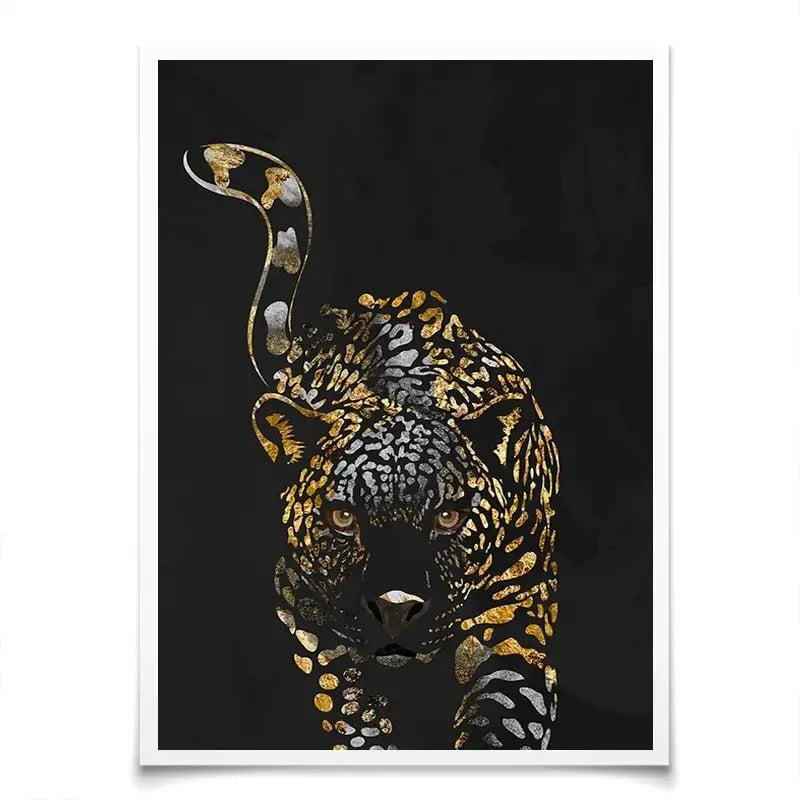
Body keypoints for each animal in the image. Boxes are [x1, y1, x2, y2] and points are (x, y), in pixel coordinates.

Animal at [184, 143, 561, 750]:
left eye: (450, 517)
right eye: (342, 517)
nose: (395, 608)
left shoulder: (517, 617)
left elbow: (505, 719)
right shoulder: (307, 616)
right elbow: (352, 712)